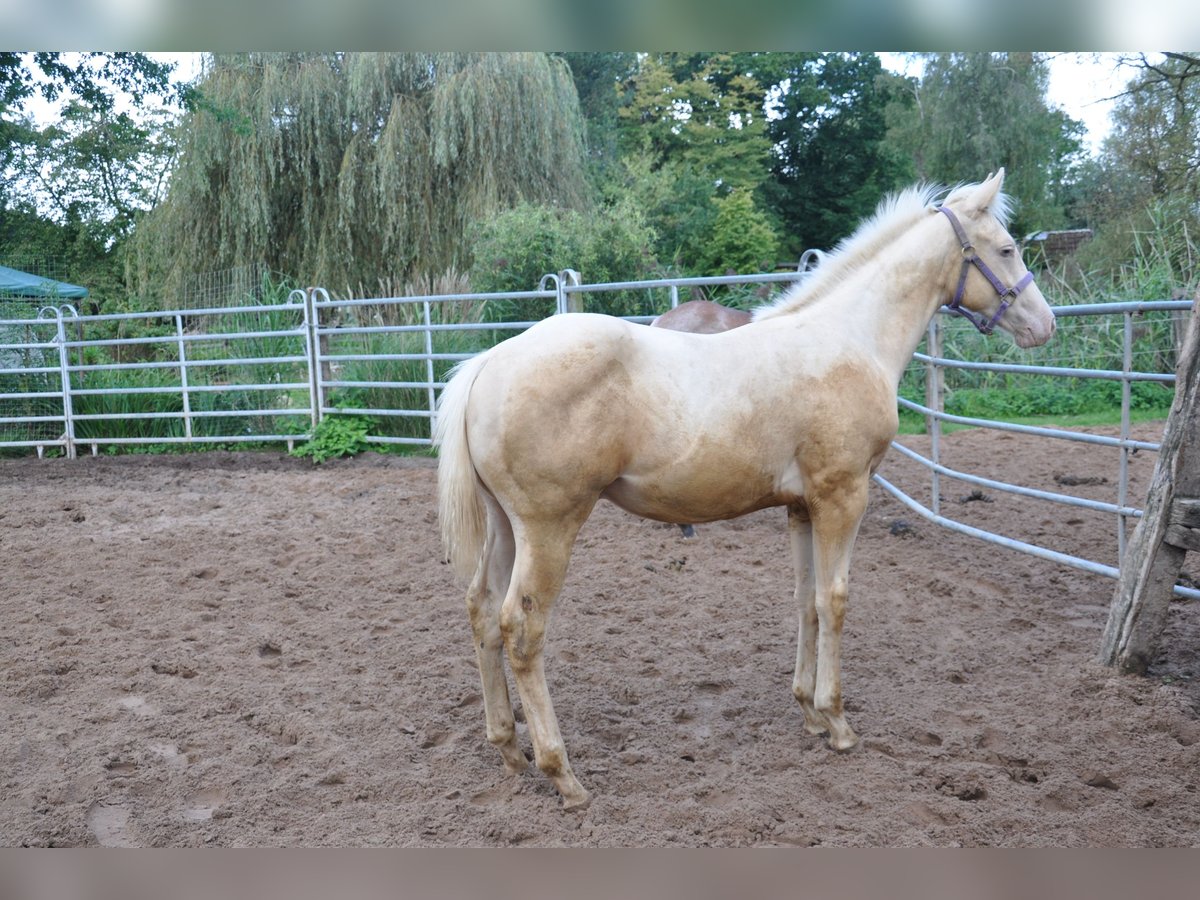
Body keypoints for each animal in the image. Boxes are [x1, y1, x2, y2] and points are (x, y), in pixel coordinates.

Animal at [436, 169, 1056, 811]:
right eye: (1006, 249)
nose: (1045, 326)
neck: (848, 338)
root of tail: (487, 363)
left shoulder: (803, 508)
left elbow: (806, 601)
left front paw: (808, 712)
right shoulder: (843, 497)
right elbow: (835, 600)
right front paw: (838, 723)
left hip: (506, 527)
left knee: (482, 611)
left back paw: (509, 749)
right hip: (548, 530)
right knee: (521, 630)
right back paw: (563, 774)